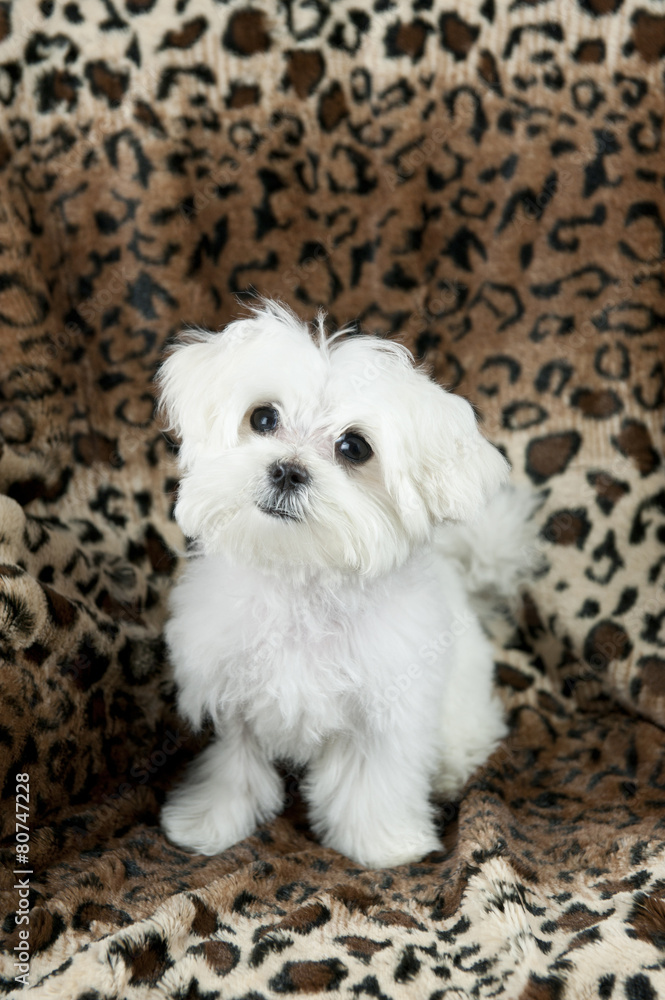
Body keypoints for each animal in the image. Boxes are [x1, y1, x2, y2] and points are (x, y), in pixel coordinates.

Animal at [158, 298, 532, 868]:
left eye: (354, 447)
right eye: (263, 418)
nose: (287, 470)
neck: (301, 581)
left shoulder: (385, 709)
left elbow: (371, 782)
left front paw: (383, 844)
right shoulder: (231, 697)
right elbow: (233, 766)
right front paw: (209, 822)